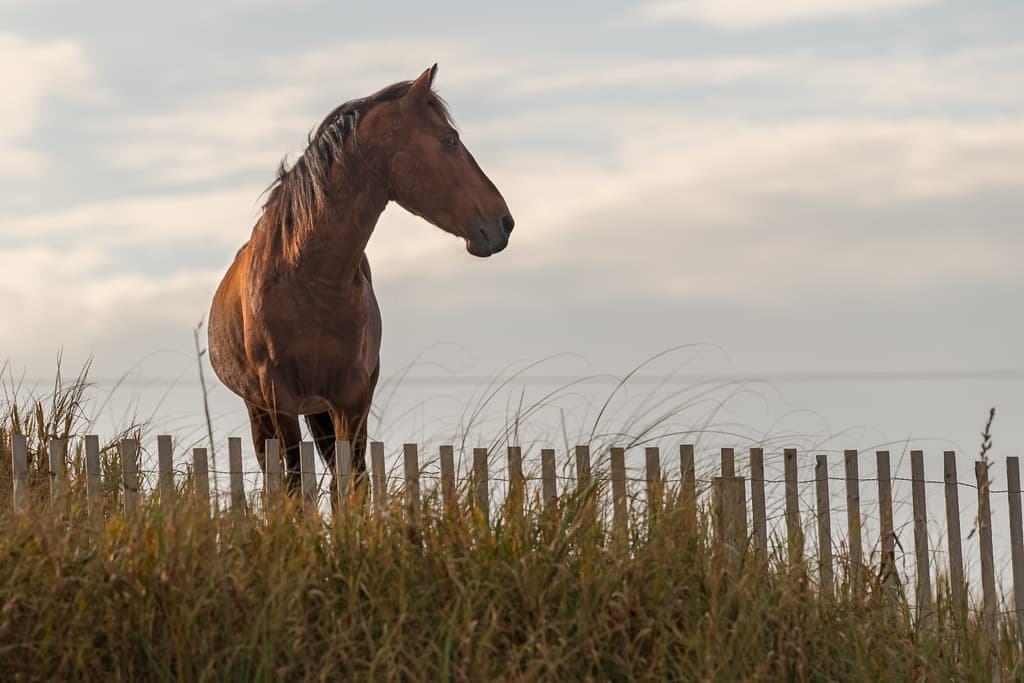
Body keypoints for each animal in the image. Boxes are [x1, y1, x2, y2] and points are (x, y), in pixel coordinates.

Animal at [207, 65, 514, 493]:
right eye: (450, 141)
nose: (504, 222)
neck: (310, 279)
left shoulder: (351, 398)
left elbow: (352, 486)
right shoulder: (278, 399)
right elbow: (295, 486)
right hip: (261, 412)